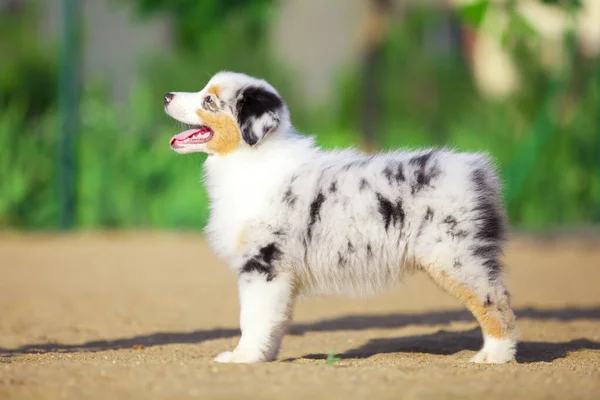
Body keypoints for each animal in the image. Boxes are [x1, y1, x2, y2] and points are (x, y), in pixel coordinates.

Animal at [163, 70, 516, 364]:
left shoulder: (263, 263)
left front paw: (243, 357)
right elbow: (275, 319)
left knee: (495, 302)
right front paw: (264, 356)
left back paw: (494, 356)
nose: (167, 96)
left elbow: (252, 316)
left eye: (209, 100)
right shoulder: (280, 274)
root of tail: (478, 171)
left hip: (454, 257)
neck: (251, 157)